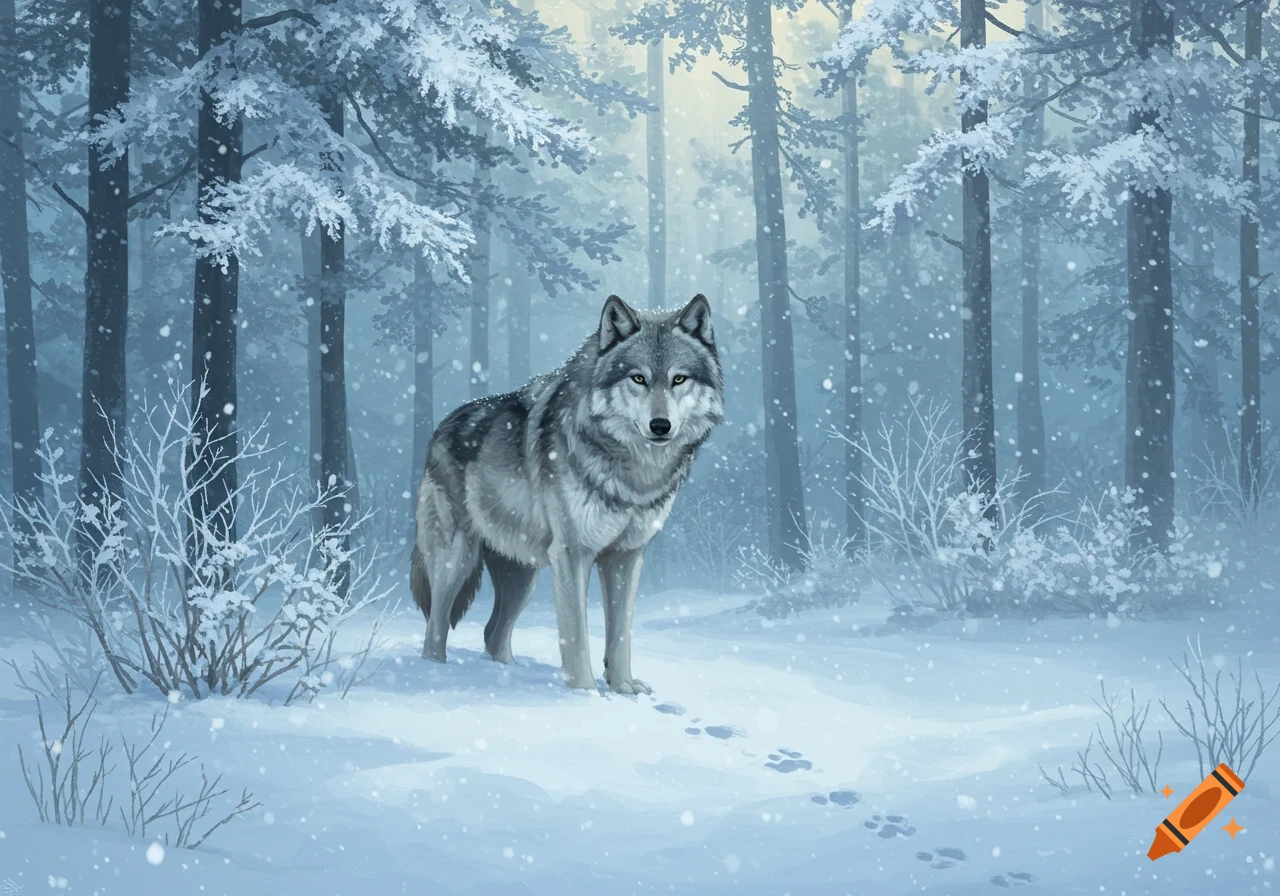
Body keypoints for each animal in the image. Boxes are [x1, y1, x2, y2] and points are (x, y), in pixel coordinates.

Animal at [410, 293, 724, 694]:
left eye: (678, 379)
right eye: (638, 378)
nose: (660, 425)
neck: (633, 472)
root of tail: (442, 426)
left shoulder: (626, 556)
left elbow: (621, 633)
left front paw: (623, 688)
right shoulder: (573, 554)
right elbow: (575, 636)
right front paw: (585, 695)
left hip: (523, 576)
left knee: (493, 634)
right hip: (456, 561)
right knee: (435, 630)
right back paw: (435, 676)